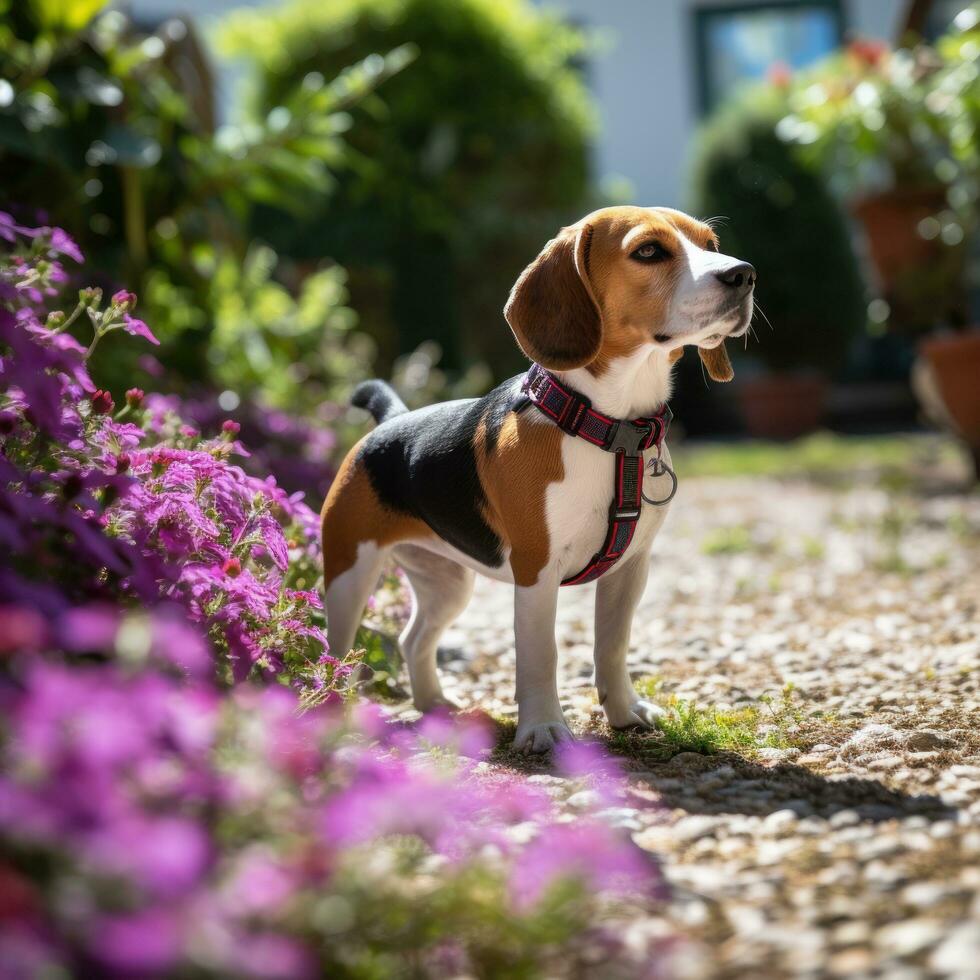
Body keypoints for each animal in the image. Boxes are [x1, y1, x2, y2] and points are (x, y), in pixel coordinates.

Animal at [322, 207, 756, 752]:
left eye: (710, 244)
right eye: (649, 251)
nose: (744, 274)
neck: (611, 429)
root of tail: (391, 422)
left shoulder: (630, 568)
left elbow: (612, 645)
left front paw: (625, 712)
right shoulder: (536, 568)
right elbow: (540, 652)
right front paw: (544, 728)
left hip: (447, 581)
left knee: (413, 638)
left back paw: (435, 705)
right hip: (348, 573)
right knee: (334, 650)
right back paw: (332, 715)